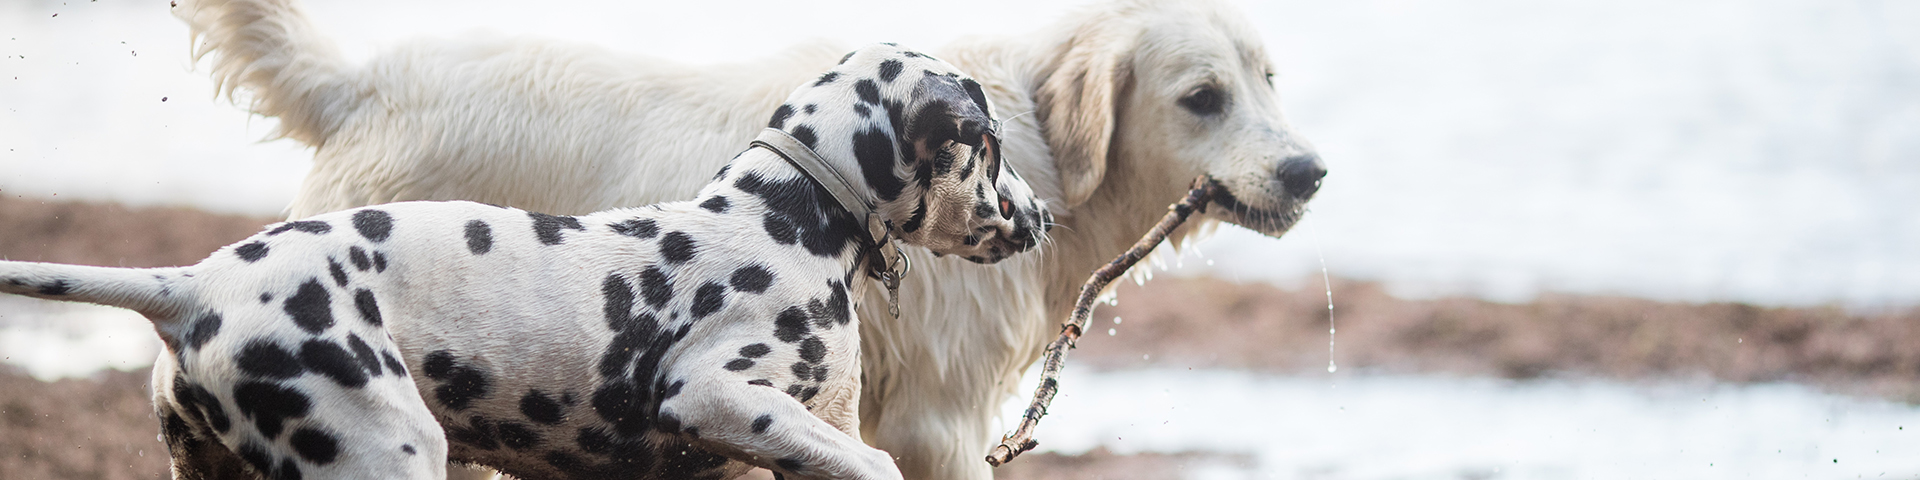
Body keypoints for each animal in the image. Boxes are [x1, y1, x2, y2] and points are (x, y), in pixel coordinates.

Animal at [0, 43, 1052, 478]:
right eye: (993, 144)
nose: (1043, 214)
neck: (782, 222)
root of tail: (197, 284)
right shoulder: (717, 396)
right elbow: (875, 463)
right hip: (384, 452)